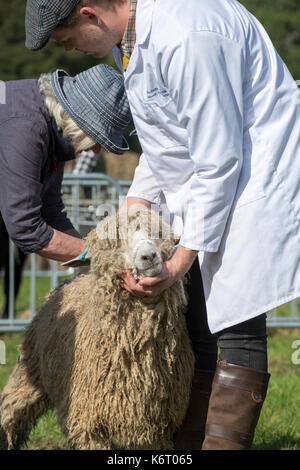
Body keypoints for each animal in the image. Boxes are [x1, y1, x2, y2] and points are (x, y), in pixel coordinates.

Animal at [0, 208, 195, 448]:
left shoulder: (155, 429)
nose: (149, 256)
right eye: (113, 243)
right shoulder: (88, 424)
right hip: (30, 369)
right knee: (12, 409)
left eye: (159, 234)